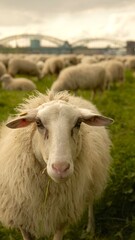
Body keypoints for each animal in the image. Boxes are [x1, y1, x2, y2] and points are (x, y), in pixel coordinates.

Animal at [0, 90, 113, 240]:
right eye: (38, 122)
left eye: (78, 123)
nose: (61, 168)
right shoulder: (21, 219)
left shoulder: (62, 217)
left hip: (94, 178)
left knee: (90, 201)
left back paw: (91, 228)